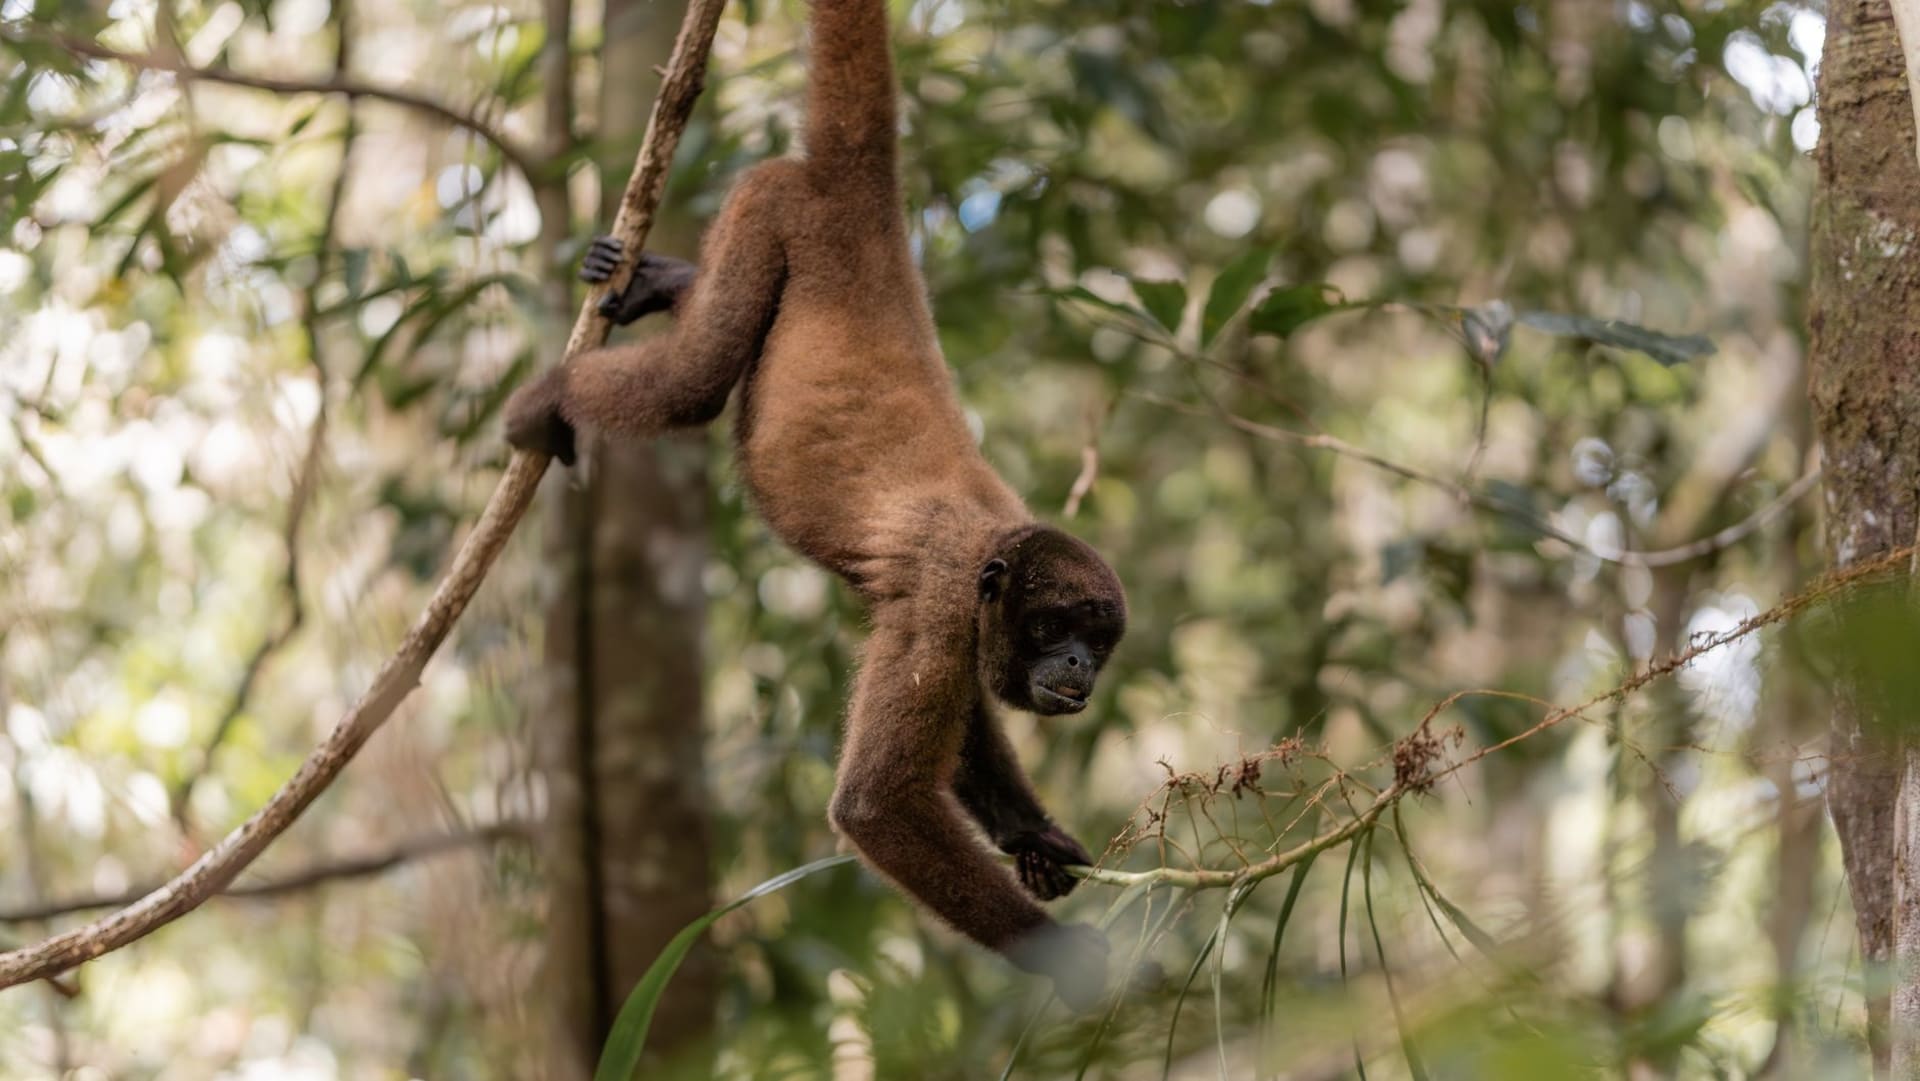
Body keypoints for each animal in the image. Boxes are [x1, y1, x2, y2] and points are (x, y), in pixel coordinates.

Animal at [505, 0, 1129, 1010]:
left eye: (1098, 640)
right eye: (1054, 627)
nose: (1076, 663)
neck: (999, 542)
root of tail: (860, 193)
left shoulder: (966, 621)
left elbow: (965, 732)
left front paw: (1033, 837)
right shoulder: (947, 601)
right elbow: (875, 807)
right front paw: (1061, 953)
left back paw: (662, 281)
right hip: (773, 204)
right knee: (694, 378)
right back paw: (550, 395)